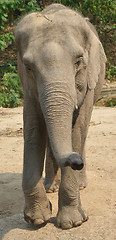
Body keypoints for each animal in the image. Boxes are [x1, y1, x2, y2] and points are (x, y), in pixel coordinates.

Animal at [14, 3, 106, 229]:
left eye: (79, 61)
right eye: (28, 67)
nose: (77, 161)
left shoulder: (88, 81)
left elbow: (76, 130)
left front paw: (72, 223)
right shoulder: (28, 88)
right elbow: (33, 129)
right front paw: (37, 218)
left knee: (82, 132)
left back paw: (80, 185)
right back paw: (50, 187)